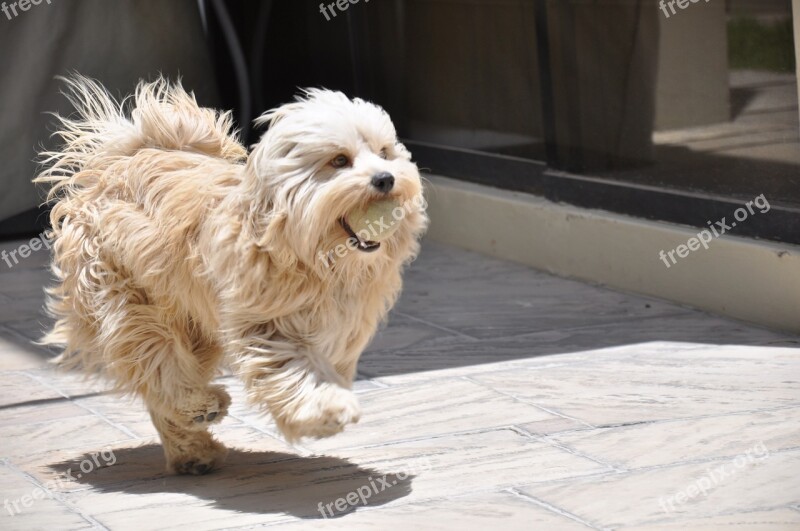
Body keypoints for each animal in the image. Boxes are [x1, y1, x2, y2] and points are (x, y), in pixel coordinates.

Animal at [34, 77, 428, 476]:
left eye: (384, 152)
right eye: (339, 160)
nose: (385, 178)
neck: (312, 256)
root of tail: (123, 158)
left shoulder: (338, 328)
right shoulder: (267, 326)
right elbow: (293, 368)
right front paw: (324, 409)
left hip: (194, 326)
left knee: (162, 381)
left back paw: (192, 450)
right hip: (126, 297)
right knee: (159, 360)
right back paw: (199, 406)